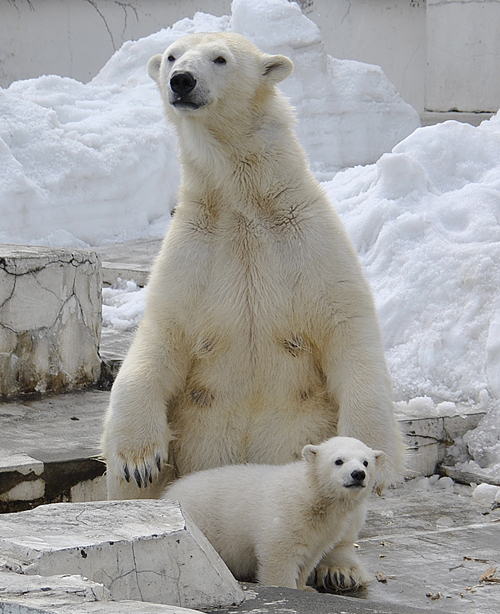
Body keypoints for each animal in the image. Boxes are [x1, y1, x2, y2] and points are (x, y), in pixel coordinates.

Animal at [101, 32, 402, 592]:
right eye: (171, 55)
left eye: (219, 58)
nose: (182, 81)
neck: (244, 202)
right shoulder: (194, 250)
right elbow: (160, 337)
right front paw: (138, 458)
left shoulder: (309, 240)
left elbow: (348, 327)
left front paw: (380, 460)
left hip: (302, 442)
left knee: (335, 512)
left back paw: (340, 568)